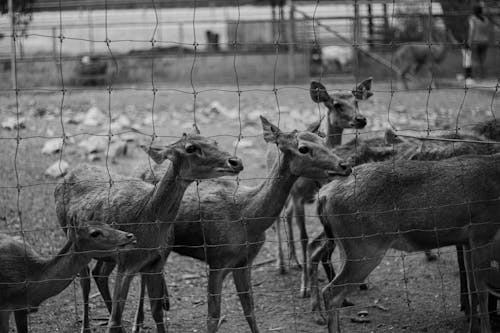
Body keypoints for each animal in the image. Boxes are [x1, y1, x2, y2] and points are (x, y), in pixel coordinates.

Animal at [54, 125, 242, 332]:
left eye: (214, 141)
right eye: (191, 148)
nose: (235, 161)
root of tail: (64, 177)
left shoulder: (156, 263)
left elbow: (156, 311)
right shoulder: (127, 263)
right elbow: (114, 320)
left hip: (108, 255)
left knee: (99, 273)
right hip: (75, 239)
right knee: (85, 280)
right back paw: (86, 327)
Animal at [94, 115, 352, 332]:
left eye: (324, 140)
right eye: (303, 148)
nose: (345, 165)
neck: (248, 218)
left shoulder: (244, 262)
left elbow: (250, 310)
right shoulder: (217, 260)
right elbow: (213, 317)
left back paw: (162, 303)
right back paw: (139, 321)